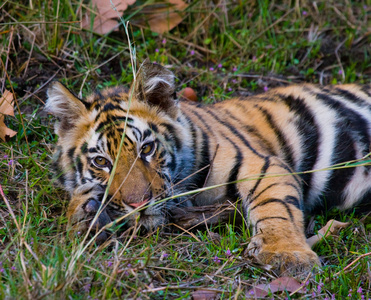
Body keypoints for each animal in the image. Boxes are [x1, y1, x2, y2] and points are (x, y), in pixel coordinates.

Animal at [45, 62, 371, 274]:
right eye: (102, 162)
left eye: (146, 149)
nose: (139, 204)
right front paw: (85, 214)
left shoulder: (262, 163)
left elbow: (276, 208)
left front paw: (287, 255)